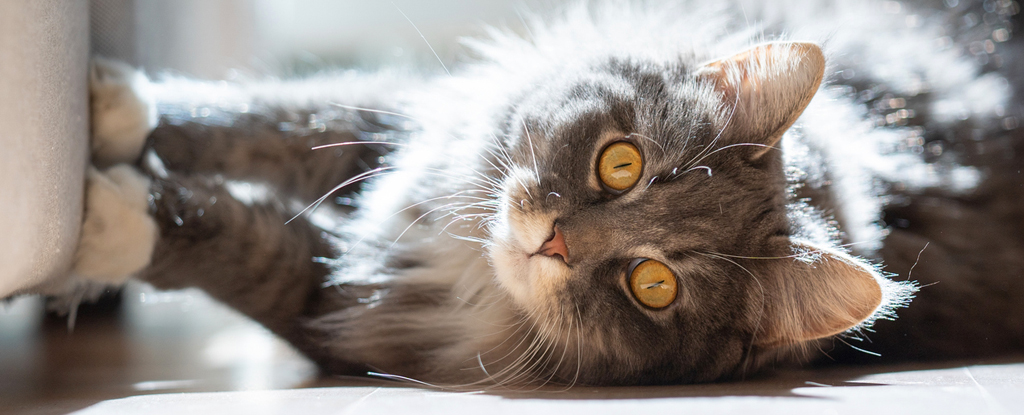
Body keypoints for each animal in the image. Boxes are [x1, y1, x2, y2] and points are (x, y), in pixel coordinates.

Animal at [58, 0, 1024, 387]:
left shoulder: (343, 306)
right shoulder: (399, 136)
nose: (553, 242)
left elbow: (235, 241)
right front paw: (110, 109)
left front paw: (98, 221)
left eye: (653, 285)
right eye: (622, 164)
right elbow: (262, 118)